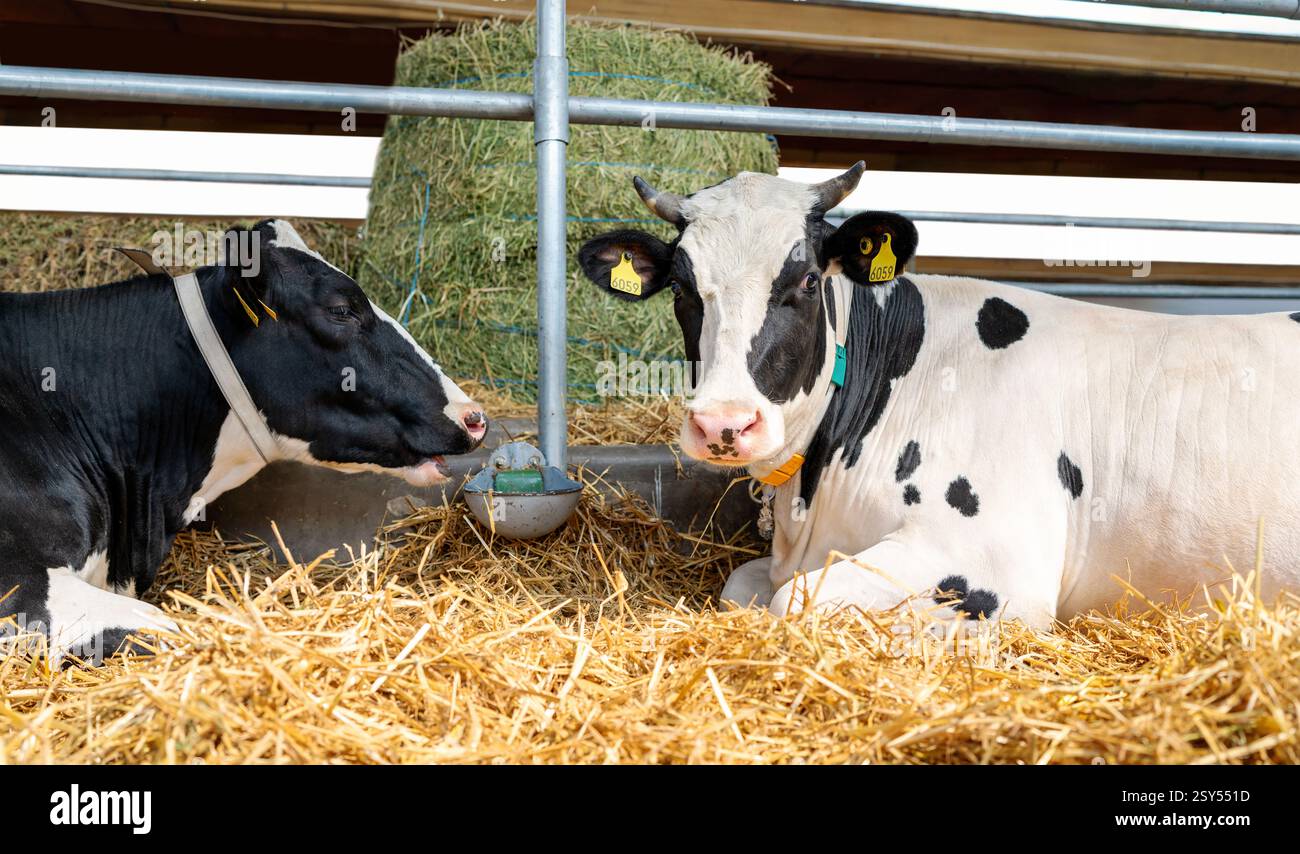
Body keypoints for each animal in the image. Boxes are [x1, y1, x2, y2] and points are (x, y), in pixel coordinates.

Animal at [578, 163, 1300, 628]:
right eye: (682, 287)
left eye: (808, 280)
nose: (725, 423)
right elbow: (744, 587)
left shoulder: (994, 561)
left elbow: (794, 602)